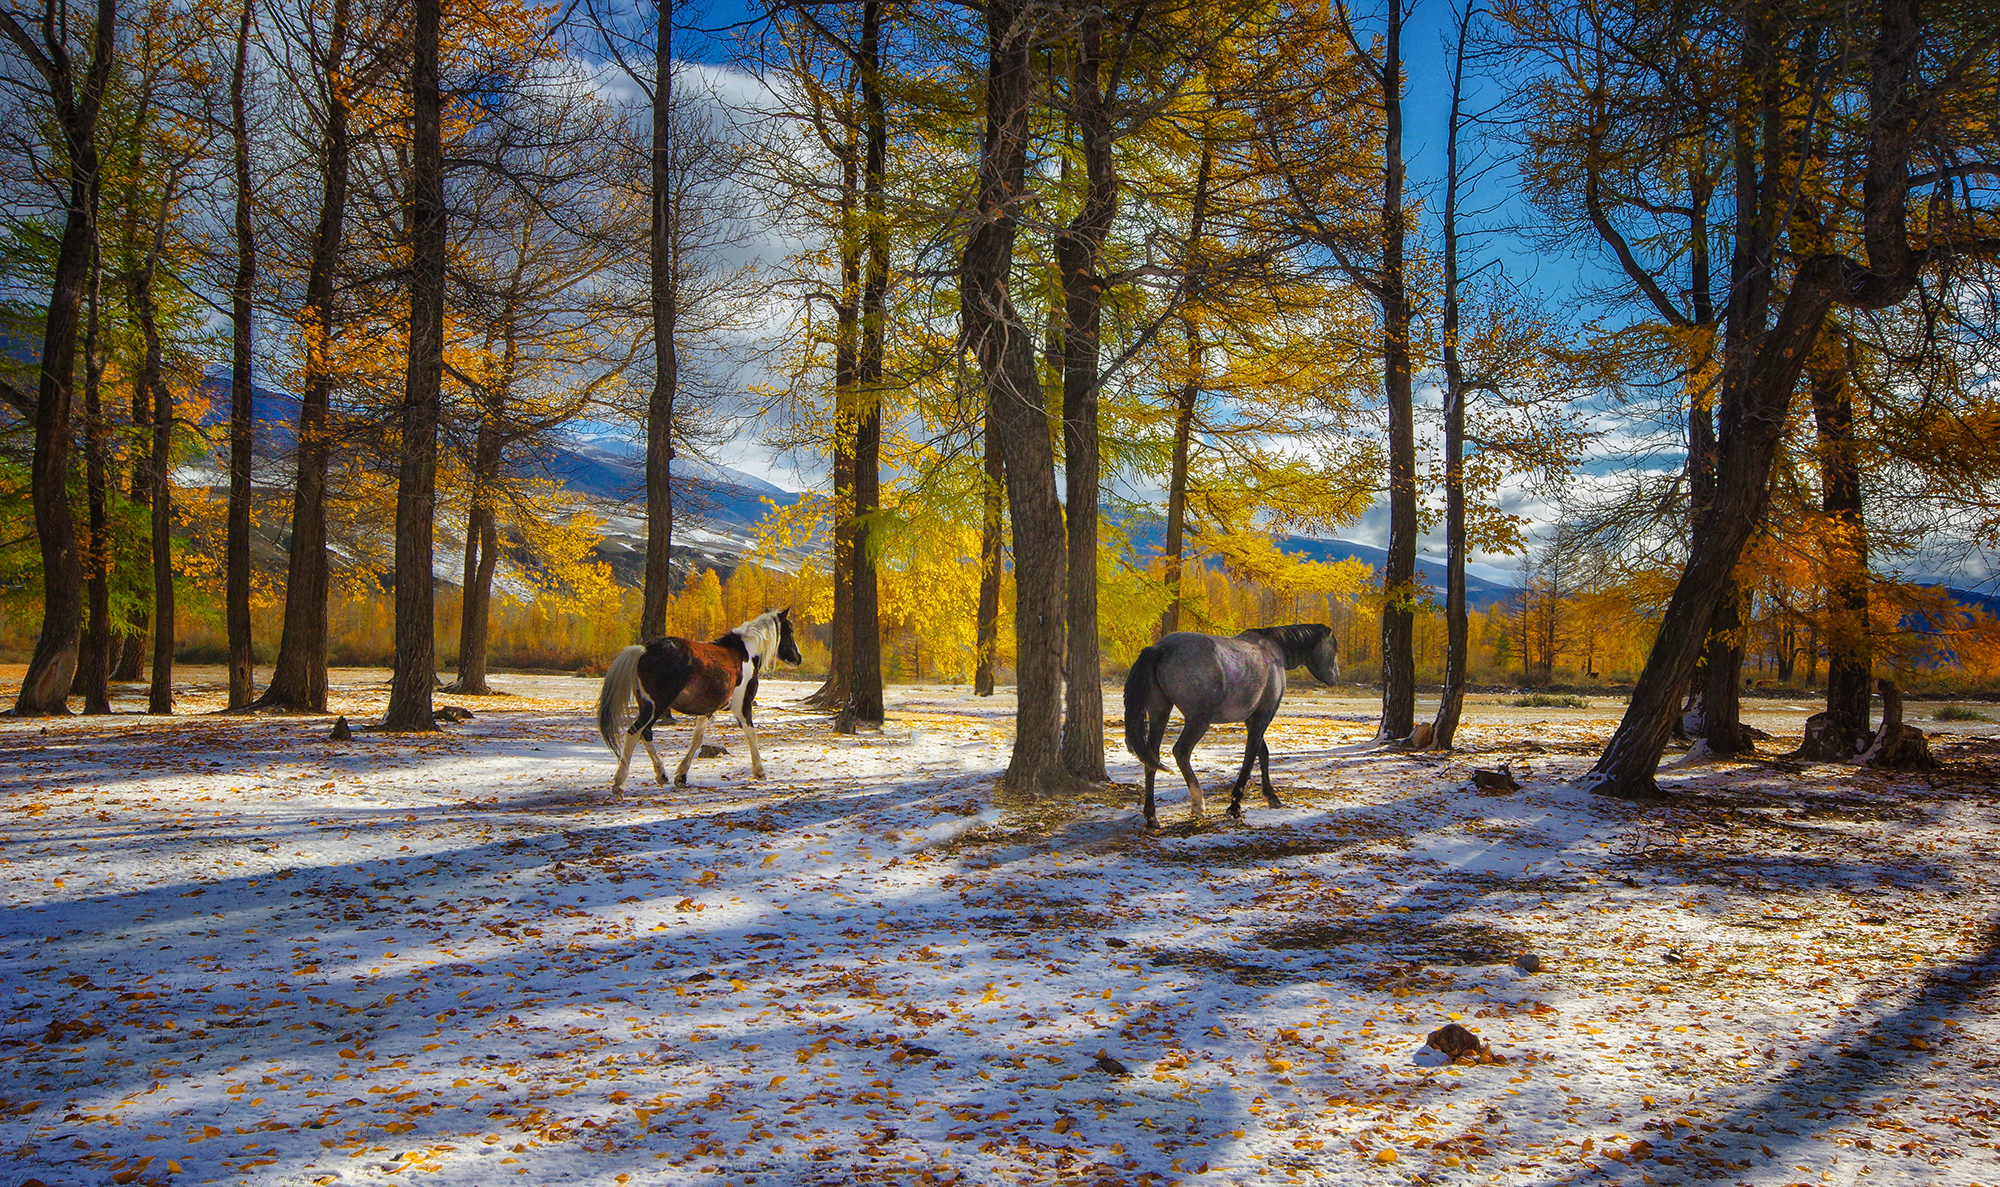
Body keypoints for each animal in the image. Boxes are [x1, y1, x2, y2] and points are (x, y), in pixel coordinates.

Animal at [596, 599, 800, 795]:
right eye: (790, 631)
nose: (798, 659)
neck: (745, 653)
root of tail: (644, 650)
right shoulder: (742, 705)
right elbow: (751, 734)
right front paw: (759, 771)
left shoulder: (707, 709)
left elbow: (697, 739)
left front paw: (681, 776)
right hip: (656, 706)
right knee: (634, 733)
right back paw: (619, 784)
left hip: (647, 705)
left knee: (645, 734)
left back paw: (661, 775)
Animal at [1120, 623, 1336, 827]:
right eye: (1334, 648)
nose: (1335, 676)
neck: (1274, 652)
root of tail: (1161, 648)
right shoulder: (1262, 718)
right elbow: (1249, 760)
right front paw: (1235, 807)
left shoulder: (1252, 720)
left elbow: (1262, 753)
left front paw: (1271, 796)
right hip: (1198, 721)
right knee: (1181, 752)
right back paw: (1198, 804)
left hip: (1160, 713)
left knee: (1151, 758)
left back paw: (1152, 817)